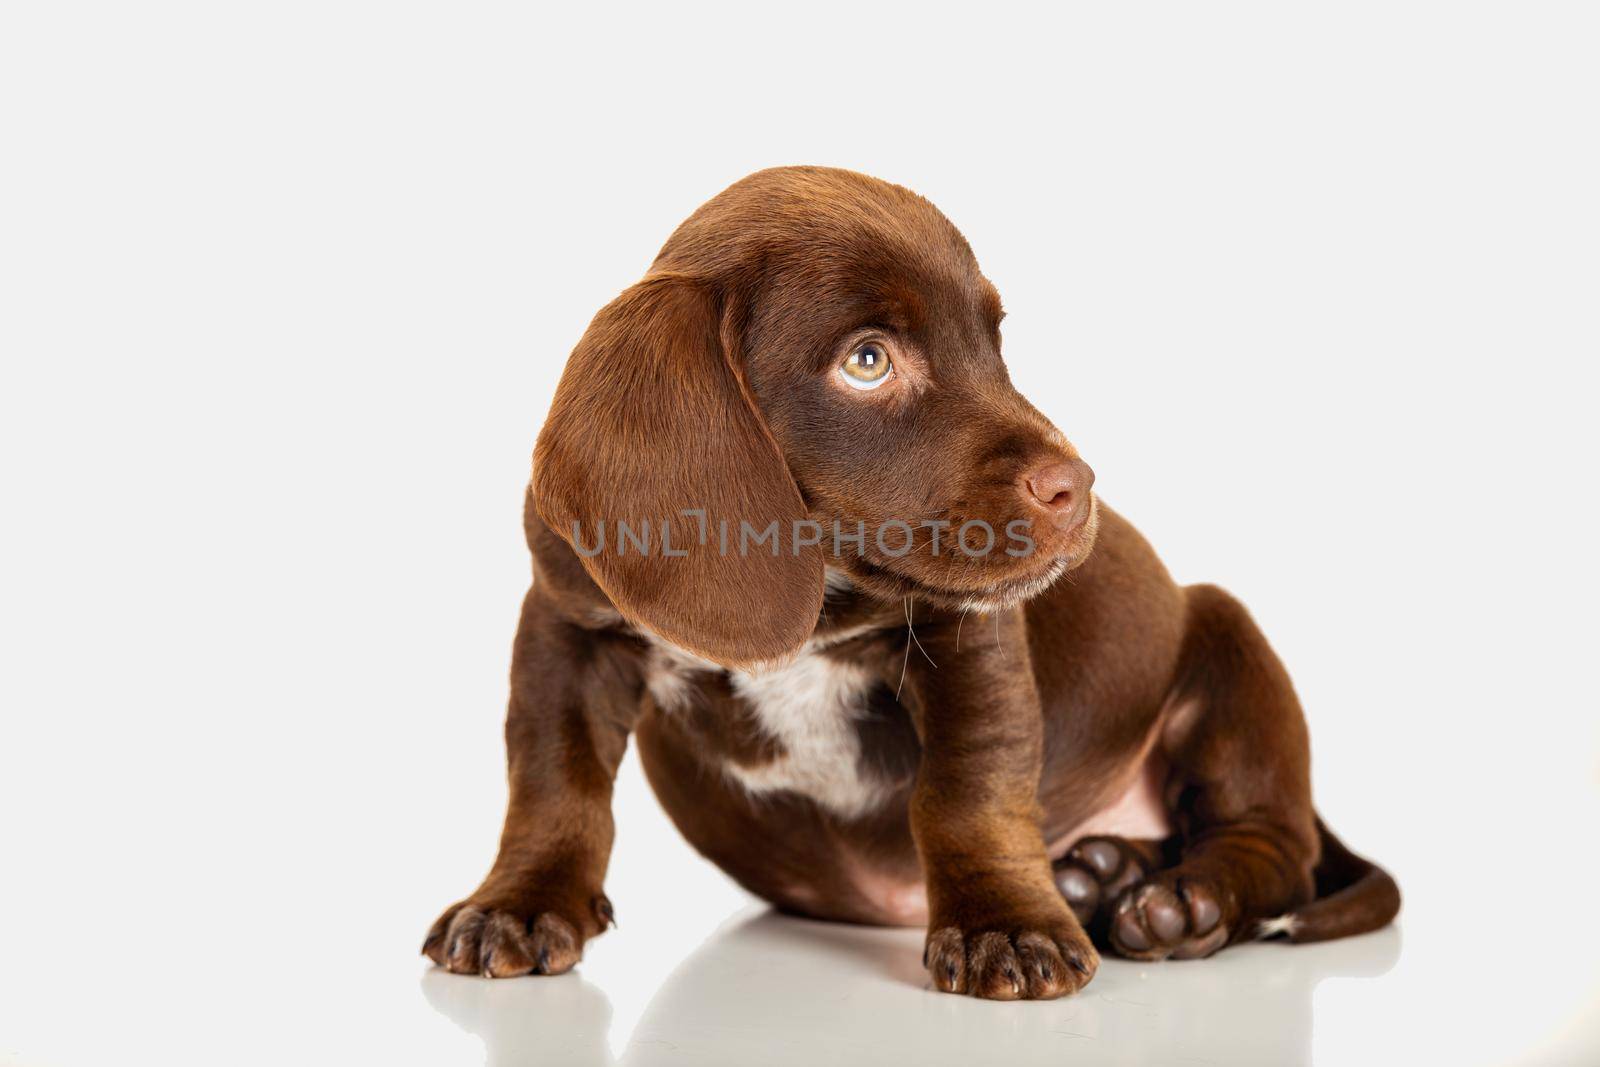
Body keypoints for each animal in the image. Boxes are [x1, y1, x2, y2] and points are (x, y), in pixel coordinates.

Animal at [419, 167, 1395, 1004]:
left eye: (994, 341)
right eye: (868, 359)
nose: (1077, 485)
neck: (821, 576)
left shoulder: (973, 639)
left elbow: (968, 791)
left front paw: (1004, 924)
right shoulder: (566, 625)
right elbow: (554, 780)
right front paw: (519, 902)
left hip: (1228, 637)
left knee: (1275, 843)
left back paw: (1180, 901)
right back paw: (1103, 870)